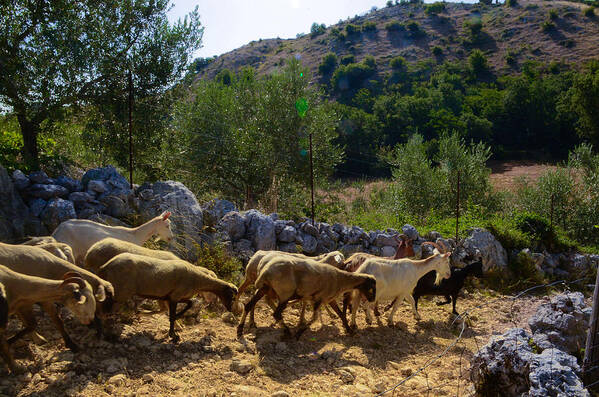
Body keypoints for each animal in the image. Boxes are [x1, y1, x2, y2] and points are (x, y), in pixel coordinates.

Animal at [97, 254, 238, 344]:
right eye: (232, 296)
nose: (231, 309)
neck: (198, 281)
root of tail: (104, 267)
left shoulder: (171, 296)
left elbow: (189, 304)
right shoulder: (175, 296)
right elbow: (174, 314)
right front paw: (174, 336)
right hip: (120, 293)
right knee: (104, 312)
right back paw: (107, 335)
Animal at [238, 252, 376, 338]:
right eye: (372, 287)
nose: (372, 299)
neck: (340, 279)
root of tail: (266, 271)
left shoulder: (328, 299)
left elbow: (341, 314)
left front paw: (348, 329)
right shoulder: (320, 299)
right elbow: (314, 318)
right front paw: (300, 332)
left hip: (264, 288)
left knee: (249, 304)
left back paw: (240, 328)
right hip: (285, 293)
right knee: (276, 313)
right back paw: (287, 331)